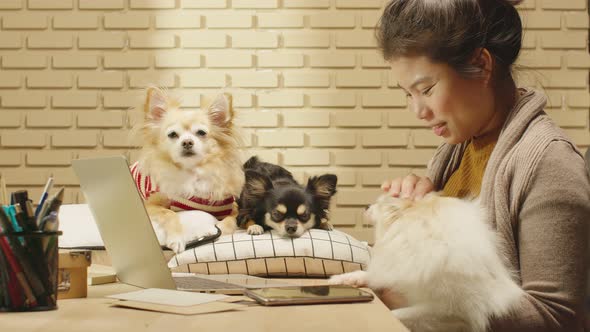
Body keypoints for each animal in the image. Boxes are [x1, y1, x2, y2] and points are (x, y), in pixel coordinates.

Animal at [330, 193, 524, 330]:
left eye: (380, 204)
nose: (366, 206)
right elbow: (374, 275)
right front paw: (345, 279)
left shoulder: (452, 312)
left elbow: (399, 314)